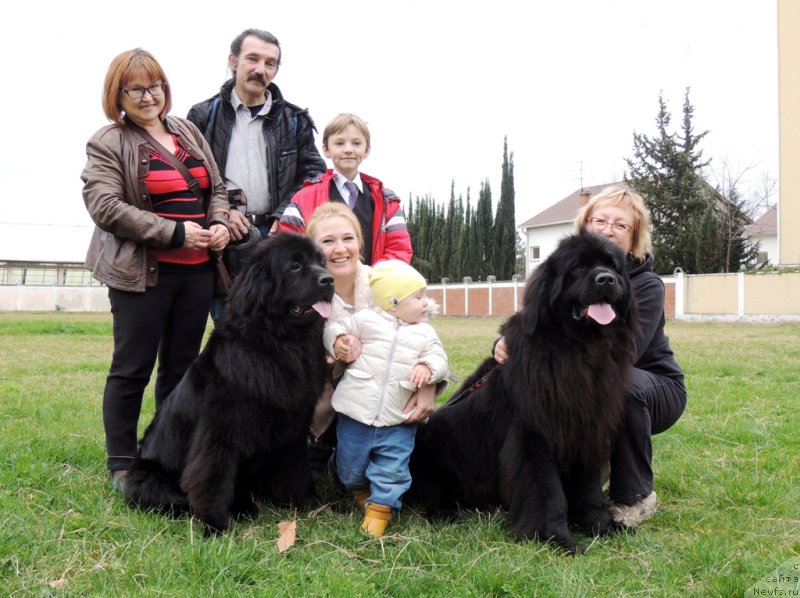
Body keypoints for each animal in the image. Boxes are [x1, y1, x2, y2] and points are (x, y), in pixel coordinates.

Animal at [124, 233, 334, 536]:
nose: (329, 280)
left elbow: (297, 468)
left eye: (321, 262)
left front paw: (309, 503)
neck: (278, 342)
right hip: (148, 479)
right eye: (295, 266)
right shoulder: (222, 429)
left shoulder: (294, 424)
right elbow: (213, 475)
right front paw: (215, 526)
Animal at [412, 230, 636, 552]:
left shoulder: (585, 428)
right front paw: (556, 537)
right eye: (579, 267)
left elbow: (589, 487)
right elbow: (548, 492)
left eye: (613, 266)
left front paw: (602, 524)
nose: (606, 280)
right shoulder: (534, 436)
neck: (578, 349)